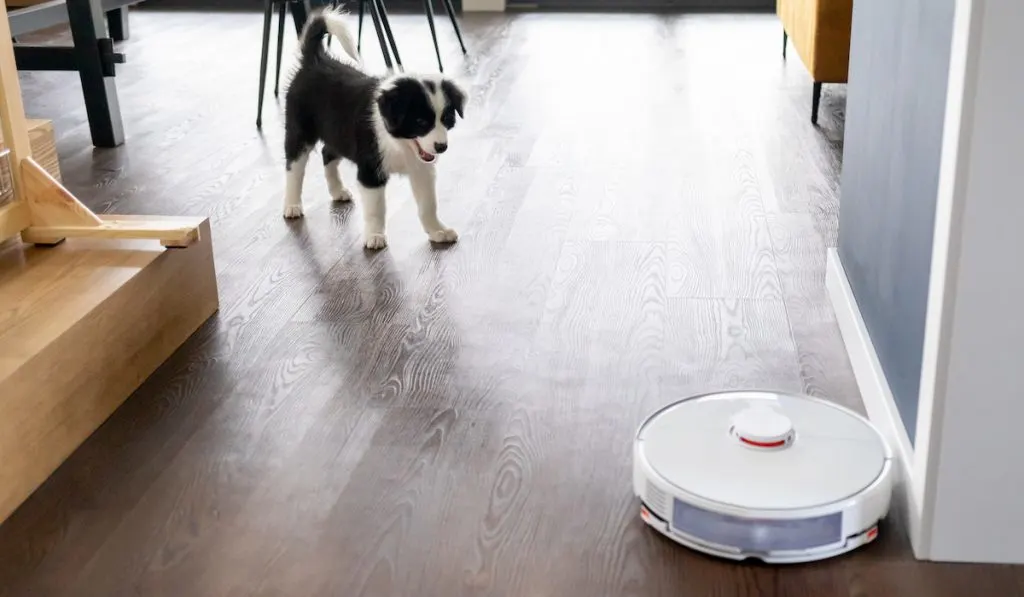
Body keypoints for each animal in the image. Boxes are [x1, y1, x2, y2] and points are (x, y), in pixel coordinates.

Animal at [284, 8, 468, 248]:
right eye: (420, 122)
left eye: (447, 119)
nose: (441, 147)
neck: (399, 144)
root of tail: (315, 60)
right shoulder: (370, 170)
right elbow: (375, 209)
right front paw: (374, 236)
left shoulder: (422, 169)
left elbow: (429, 204)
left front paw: (438, 231)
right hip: (300, 130)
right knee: (294, 167)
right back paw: (292, 205)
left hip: (338, 131)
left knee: (327, 152)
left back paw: (337, 190)